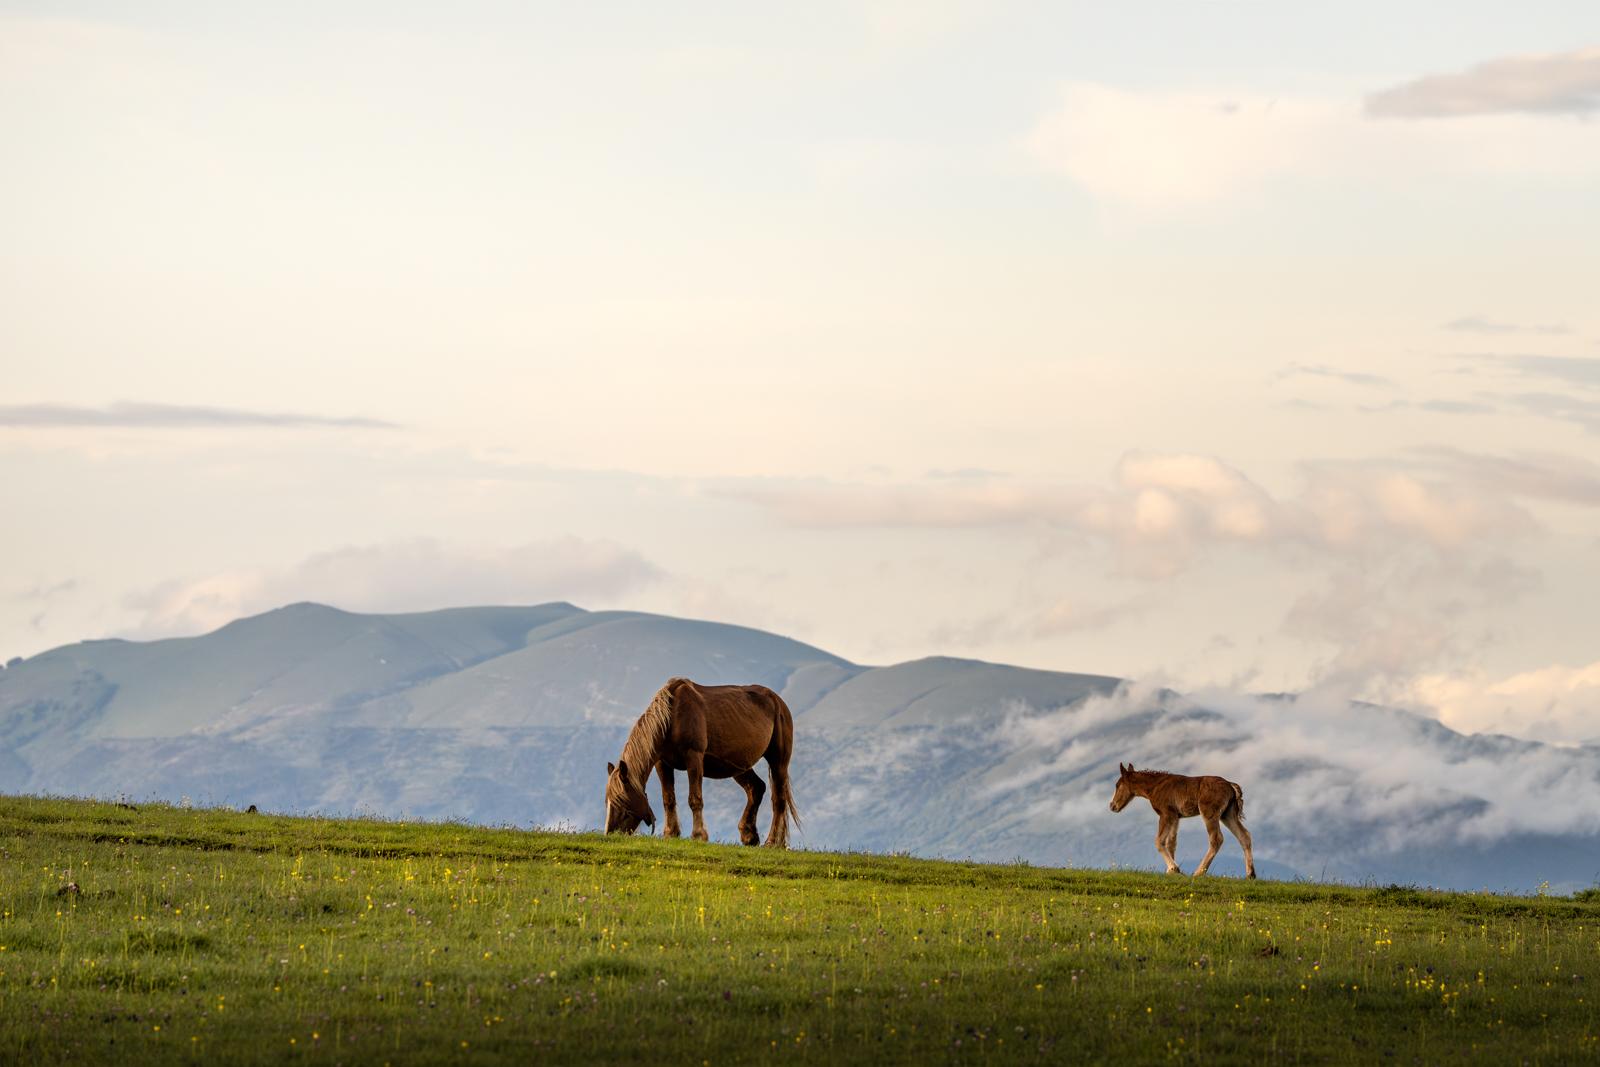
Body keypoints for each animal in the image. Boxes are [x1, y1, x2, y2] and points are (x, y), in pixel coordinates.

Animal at [603, 677, 800, 848]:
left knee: (779, 800)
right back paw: (749, 835)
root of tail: (778, 701)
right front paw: (670, 833)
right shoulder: (662, 763)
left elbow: (695, 799)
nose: (610, 835)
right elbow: (668, 799)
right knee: (756, 789)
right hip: (739, 766)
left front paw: (698, 835)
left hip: (778, 762)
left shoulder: (694, 758)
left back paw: (773, 842)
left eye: (621, 800)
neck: (672, 716)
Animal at [1108, 762, 1256, 878]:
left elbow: (1159, 841)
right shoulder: (1175, 816)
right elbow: (1171, 843)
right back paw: (1250, 874)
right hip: (1228, 814)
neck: (1154, 787)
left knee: (1216, 839)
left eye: (1117, 785)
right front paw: (1171, 871)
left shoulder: (1166, 814)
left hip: (1209, 813)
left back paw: (1199, 872)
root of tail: (1231, 786)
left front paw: (1174, 868)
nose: (1112, 806)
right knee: (1244, 836)